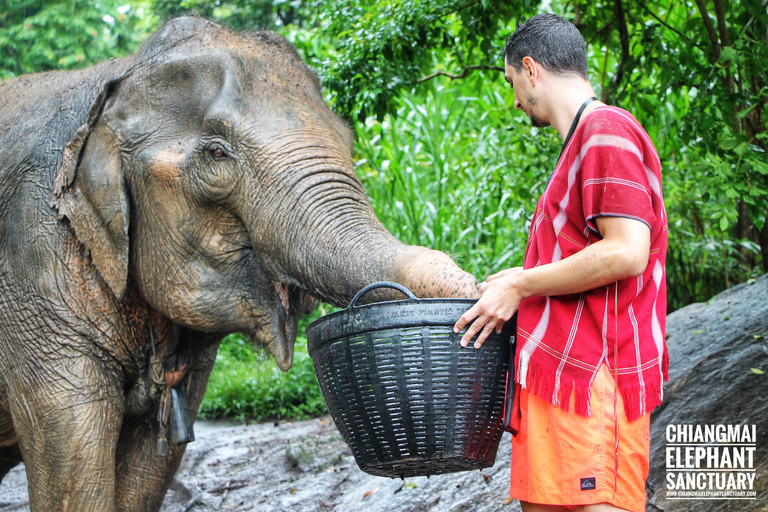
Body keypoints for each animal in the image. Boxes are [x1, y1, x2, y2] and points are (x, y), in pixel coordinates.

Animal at [0, 16, 480, 512]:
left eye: (348, 139)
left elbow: (149, 467)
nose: (478, 291)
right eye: (217, 153)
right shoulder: (35, 259)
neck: (118, 78)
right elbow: (72, 453)